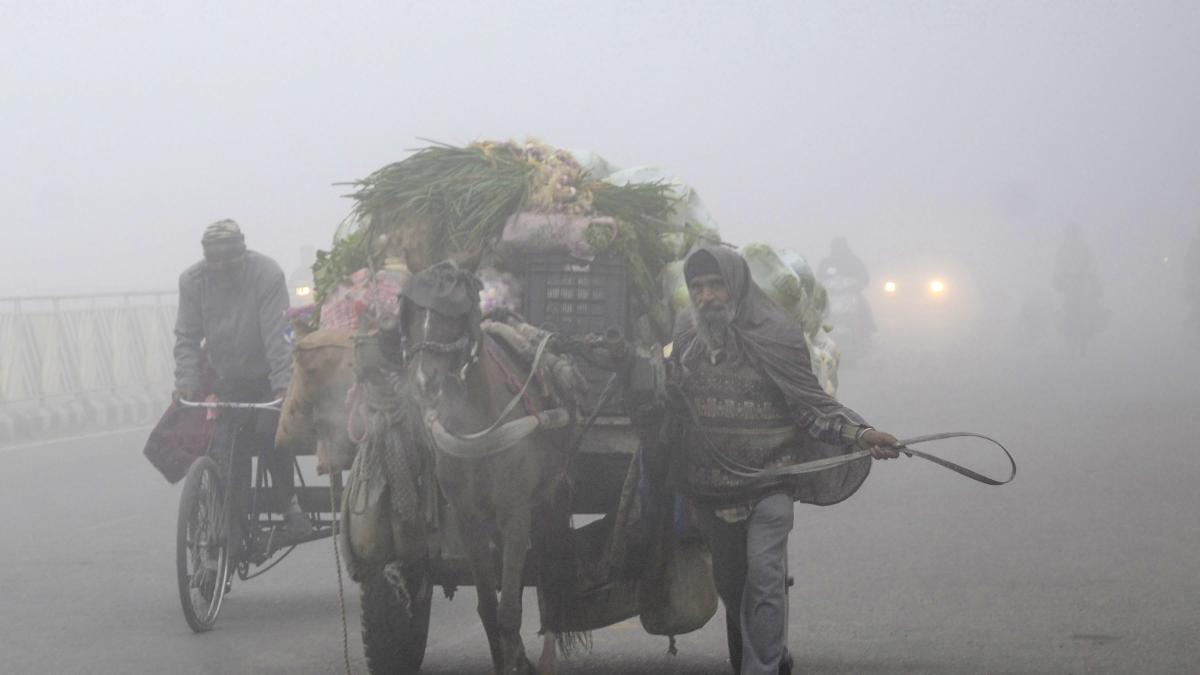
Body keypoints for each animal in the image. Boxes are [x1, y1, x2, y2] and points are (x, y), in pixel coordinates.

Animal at [396, 258, 578, 672]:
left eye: (453, 315)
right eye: (411, 313)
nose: (423, 382)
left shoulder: (516, 512)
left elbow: (509, 609)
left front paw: (520, 658)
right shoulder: (468, 520)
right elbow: (488, 608)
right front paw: (508, 658)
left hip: (548, 500)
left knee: (549, 572)